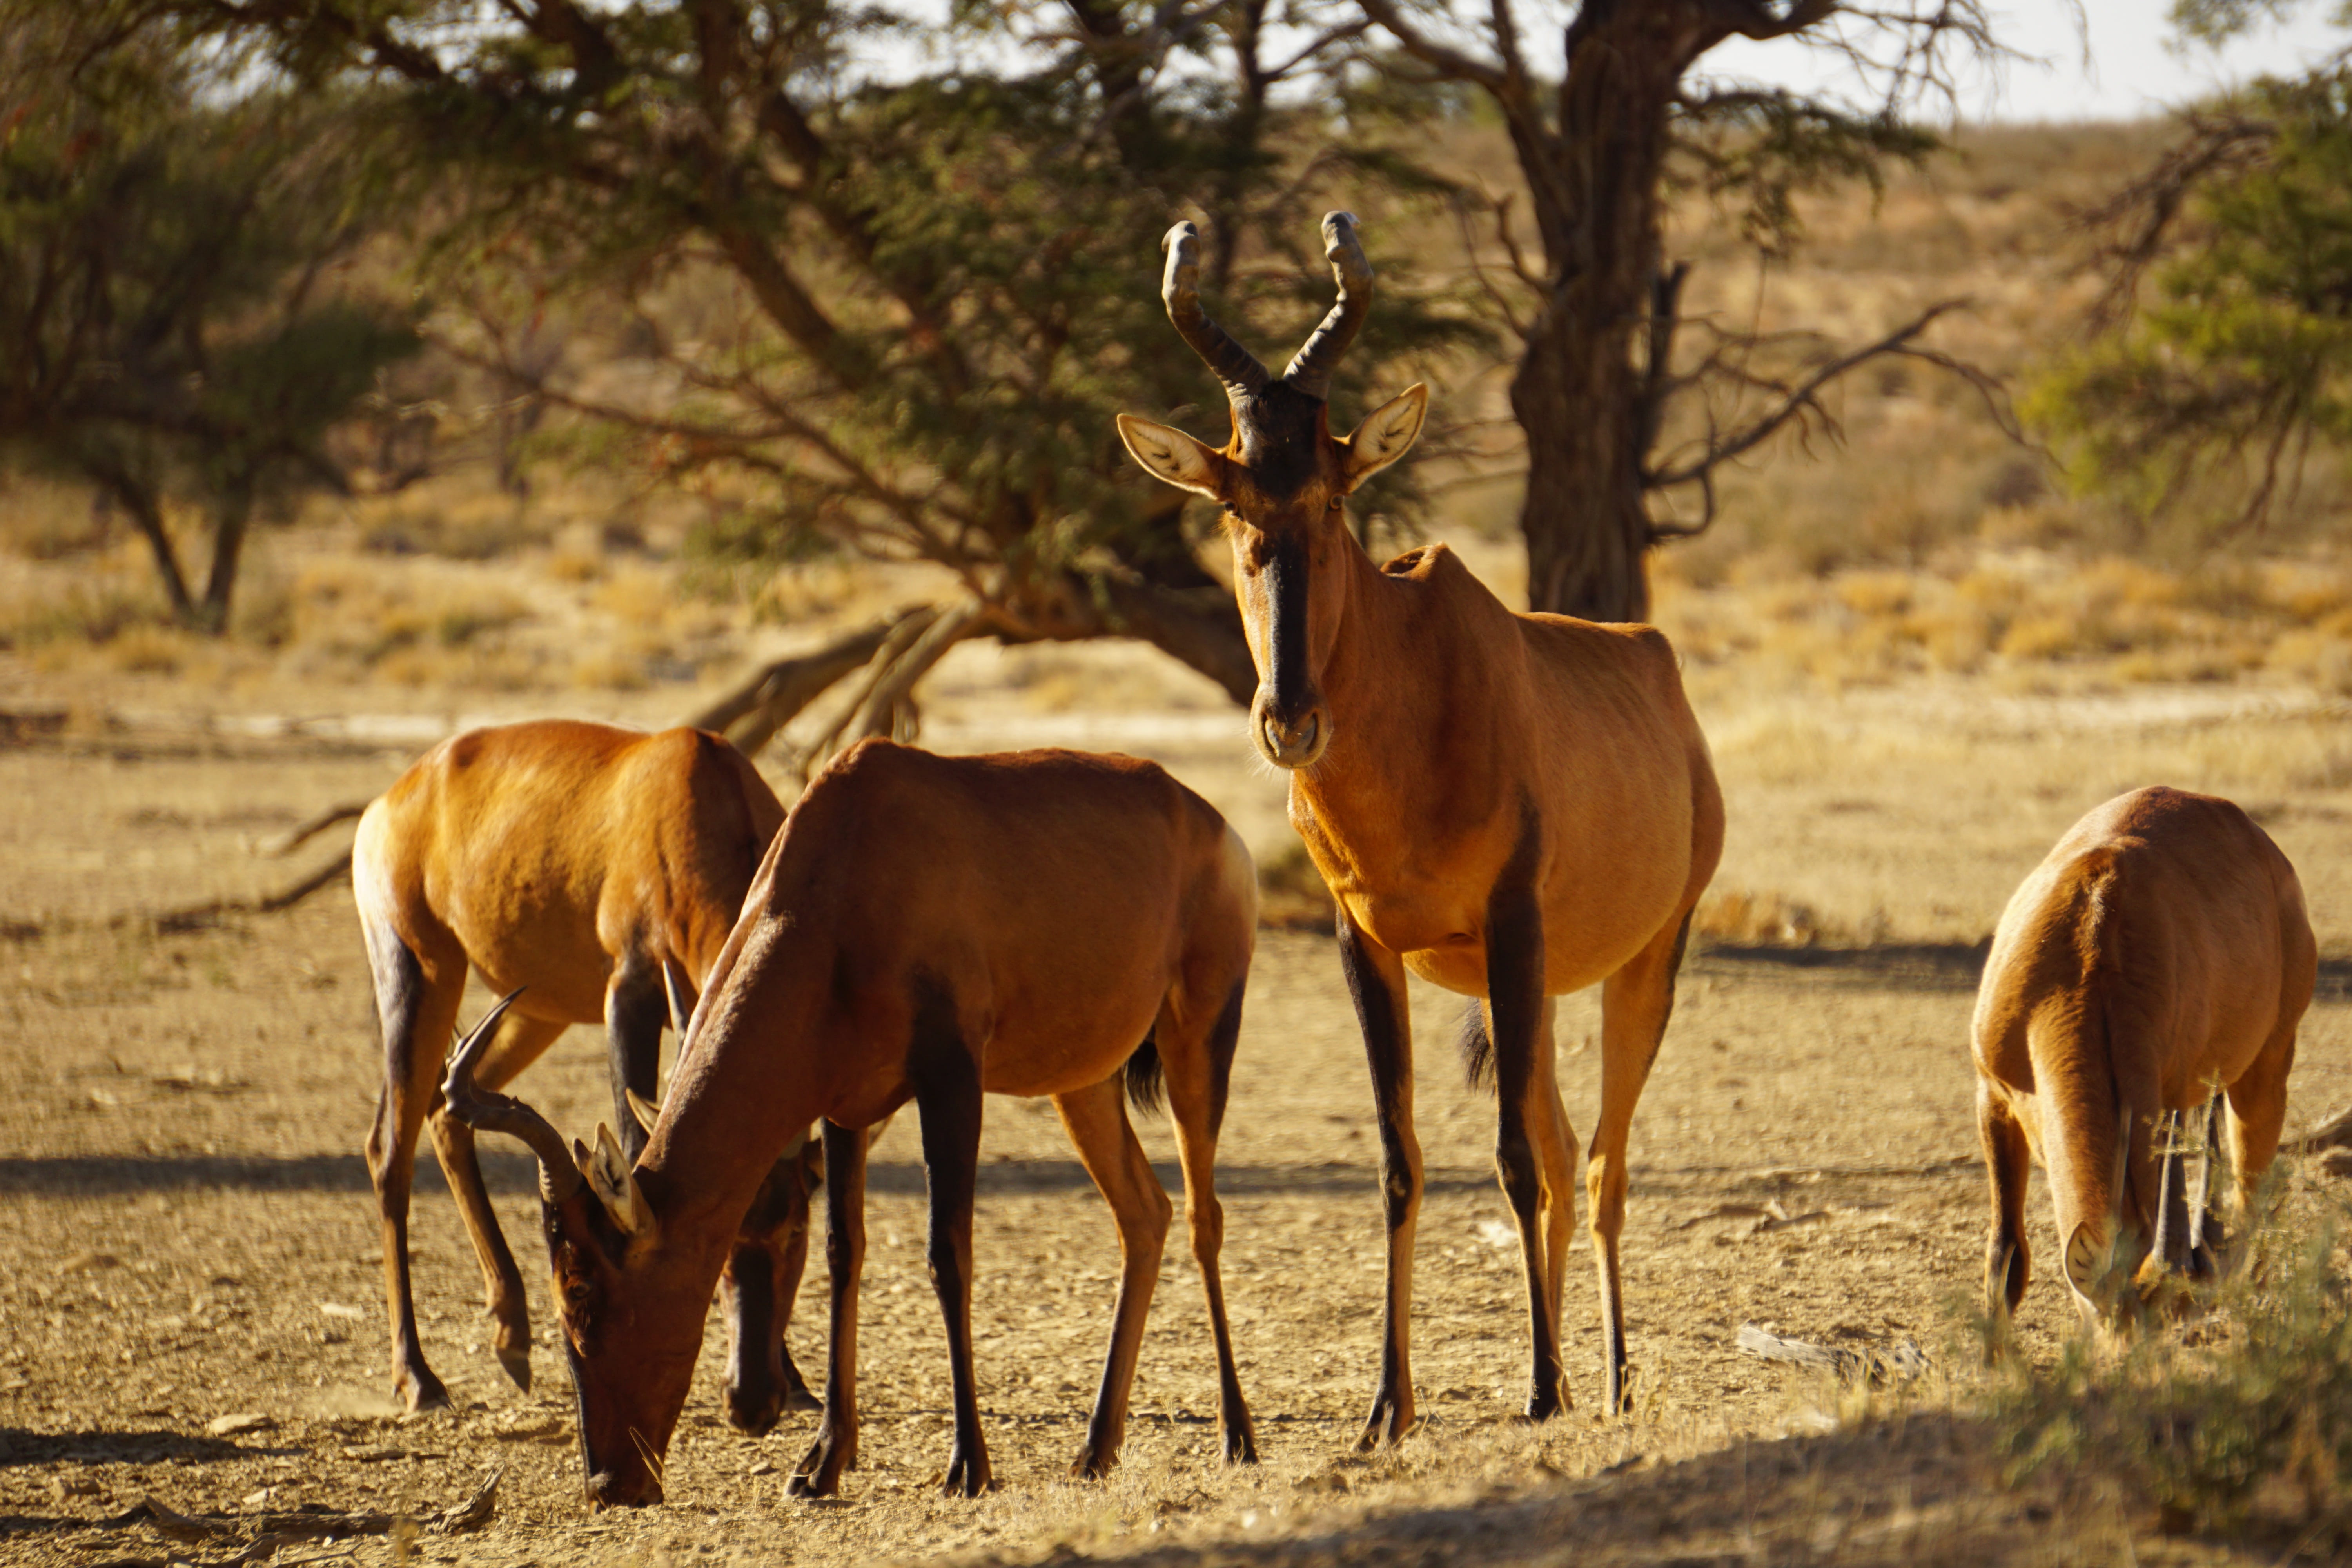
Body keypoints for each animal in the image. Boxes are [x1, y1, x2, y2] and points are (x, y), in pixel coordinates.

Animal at [356, 718, 821, 1430]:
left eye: (798, 1226)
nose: (754, 1398)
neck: (697, 786)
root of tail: (397, 795)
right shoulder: (627, 990)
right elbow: (632, 1143)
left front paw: (798, 1383)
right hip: (418, 969)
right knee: (390, 1148)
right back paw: (419, 1379)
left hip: (533, 1010)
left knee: (443, 1114)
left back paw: (512, 1338)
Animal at [439, 738, 1261, 1509]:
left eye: (583, 1290)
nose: (610, 1483)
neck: (846, 862)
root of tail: (1213, 823)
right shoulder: (843, 1109)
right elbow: (846, 1253)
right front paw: (821, 1465)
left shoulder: (951, 1079)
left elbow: (947, 1254)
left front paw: (968, 1467)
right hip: (1082, 1081)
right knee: (1144, 1215)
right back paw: (1096, 1451)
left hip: (1198, 1038)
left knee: (1204, 1217)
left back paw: (1237, 1438)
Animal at [1114, 213, 1724, 1429]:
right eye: (1232, 501)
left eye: (1335, 493)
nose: (1290, 720)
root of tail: (1653, 658)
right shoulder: (1369, 944)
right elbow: (1402, 1159)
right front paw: (1385, 1407)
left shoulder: (1513, 924)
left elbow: (1513, 1159)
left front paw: (1537, 1390)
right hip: (1533, 985)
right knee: (1566, 1138)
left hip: (1643, 957)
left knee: (1600, 1163)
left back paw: (1609, 1380)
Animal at [1974, 785, 2314, 1331]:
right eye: (2104, 1318)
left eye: (2166, 1326)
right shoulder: (1992, 1096)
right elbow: (2006, 1257)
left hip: (2268, 1064)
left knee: (2251, 1200)